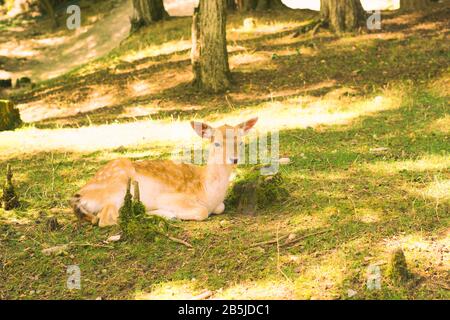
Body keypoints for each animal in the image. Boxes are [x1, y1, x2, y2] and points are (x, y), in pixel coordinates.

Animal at [70, 118, 256, 228]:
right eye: (216, 143)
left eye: (240, 142)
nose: (234, 159)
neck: (207, 192)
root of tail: (79, 196)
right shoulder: (170, 197)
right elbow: (202, 212)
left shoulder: (218, 204)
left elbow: (221, 207)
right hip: (117, 189)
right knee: (107, 217)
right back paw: (166, 215)